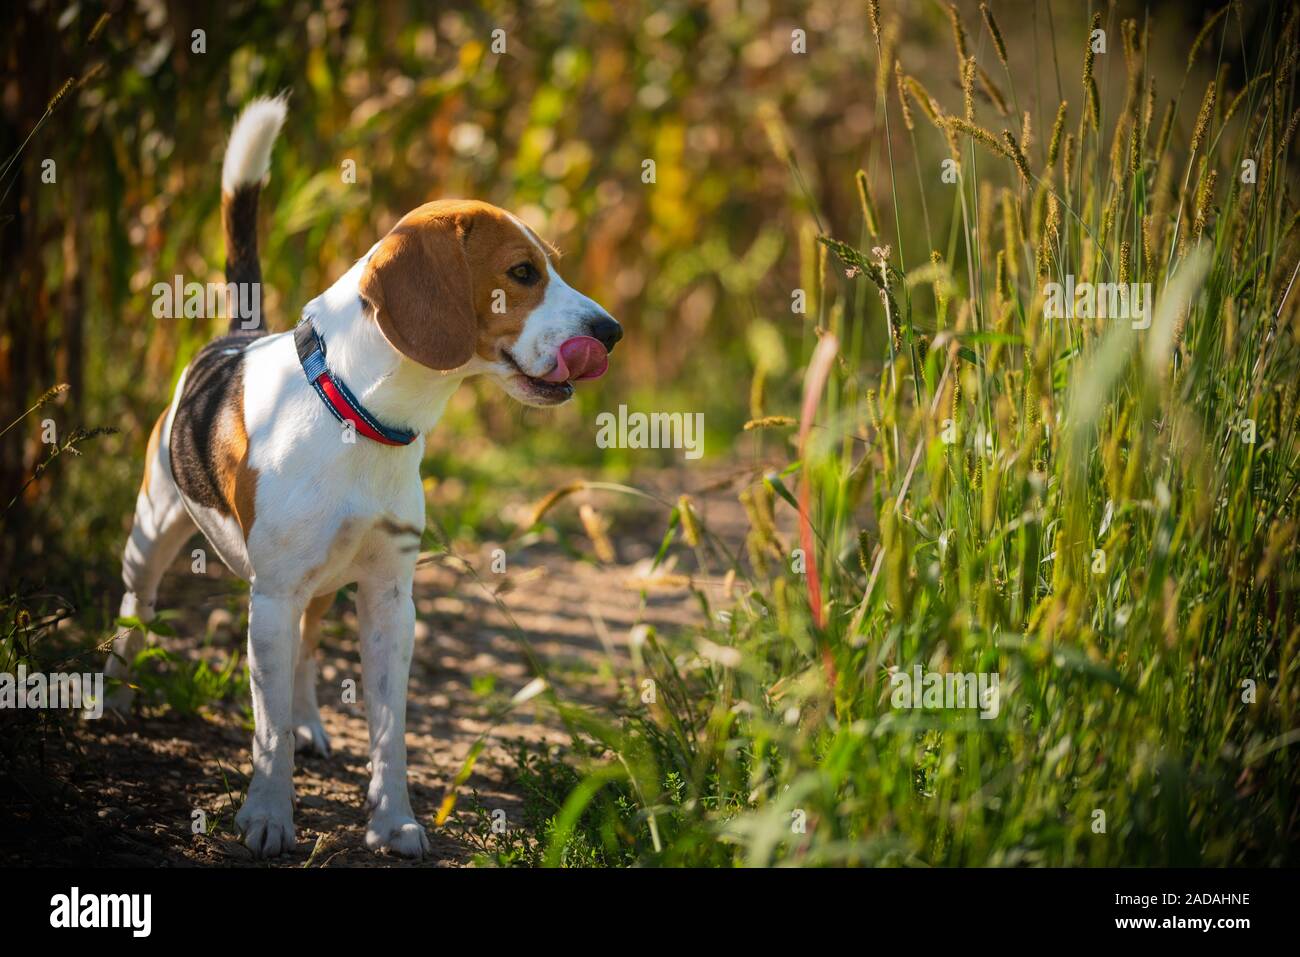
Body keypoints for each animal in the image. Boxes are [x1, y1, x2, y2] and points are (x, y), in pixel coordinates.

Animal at [104, 97, 621, 858]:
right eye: (524, 272)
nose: (611, 332)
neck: (360, 415)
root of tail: (236, 335)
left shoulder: (389, 598)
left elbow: (388, 731)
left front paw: (393, 820)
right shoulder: (272, 595)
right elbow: (265, 733)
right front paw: (266, 815)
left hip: (317, 586)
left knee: (305, 653)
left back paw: (309, 724)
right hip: (153, 533)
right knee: (136, 611)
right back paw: (113, 696)